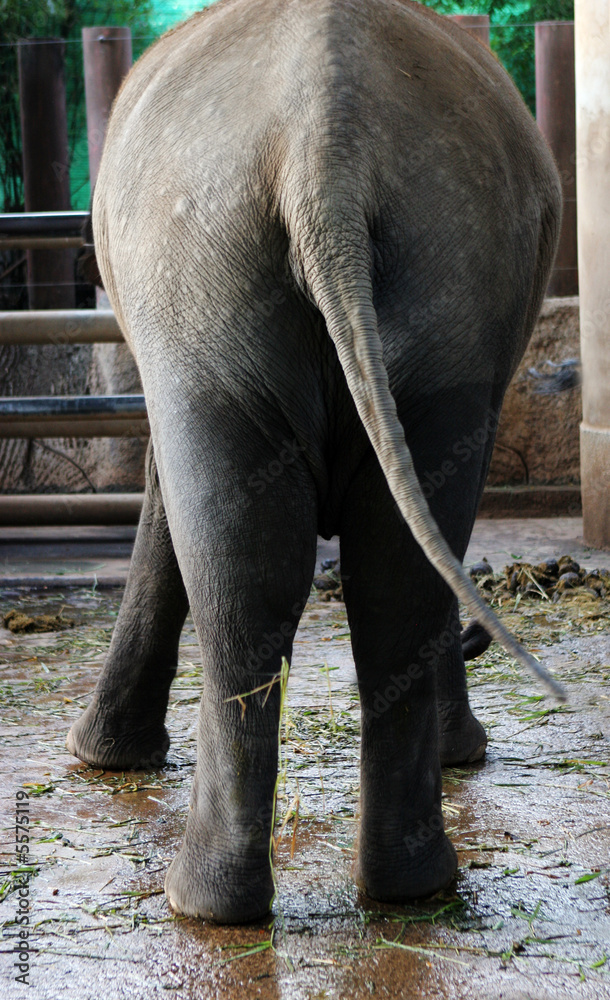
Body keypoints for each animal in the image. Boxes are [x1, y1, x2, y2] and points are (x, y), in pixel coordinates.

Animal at [66, 0, 562, 922]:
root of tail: (323, 148)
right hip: (361, 278)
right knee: (356, 574)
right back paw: (374, 892)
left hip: (228, 273)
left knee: (267, 567)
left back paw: (218, 902)